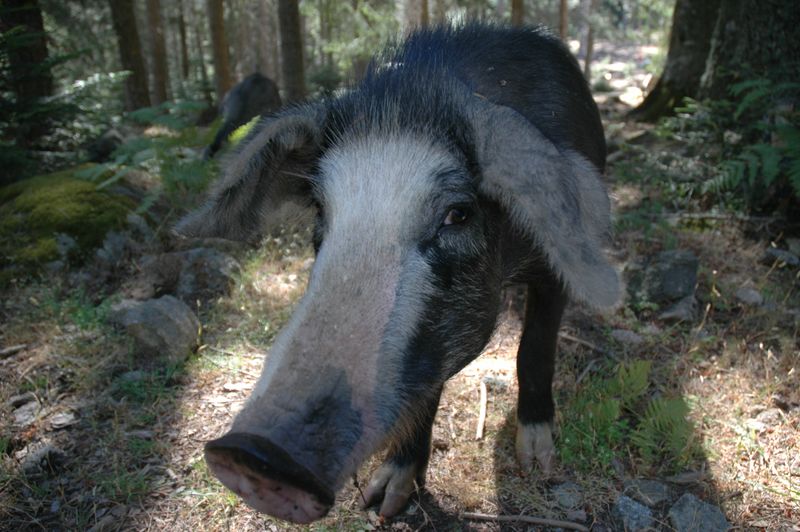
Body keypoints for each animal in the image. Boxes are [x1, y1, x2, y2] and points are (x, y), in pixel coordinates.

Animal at [176, 23, 619, 524]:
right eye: (321, 211)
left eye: (458, 214)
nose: (251, 454)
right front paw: (382, 501)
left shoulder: (555, 268)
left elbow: (535, 348)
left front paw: (538, 464)